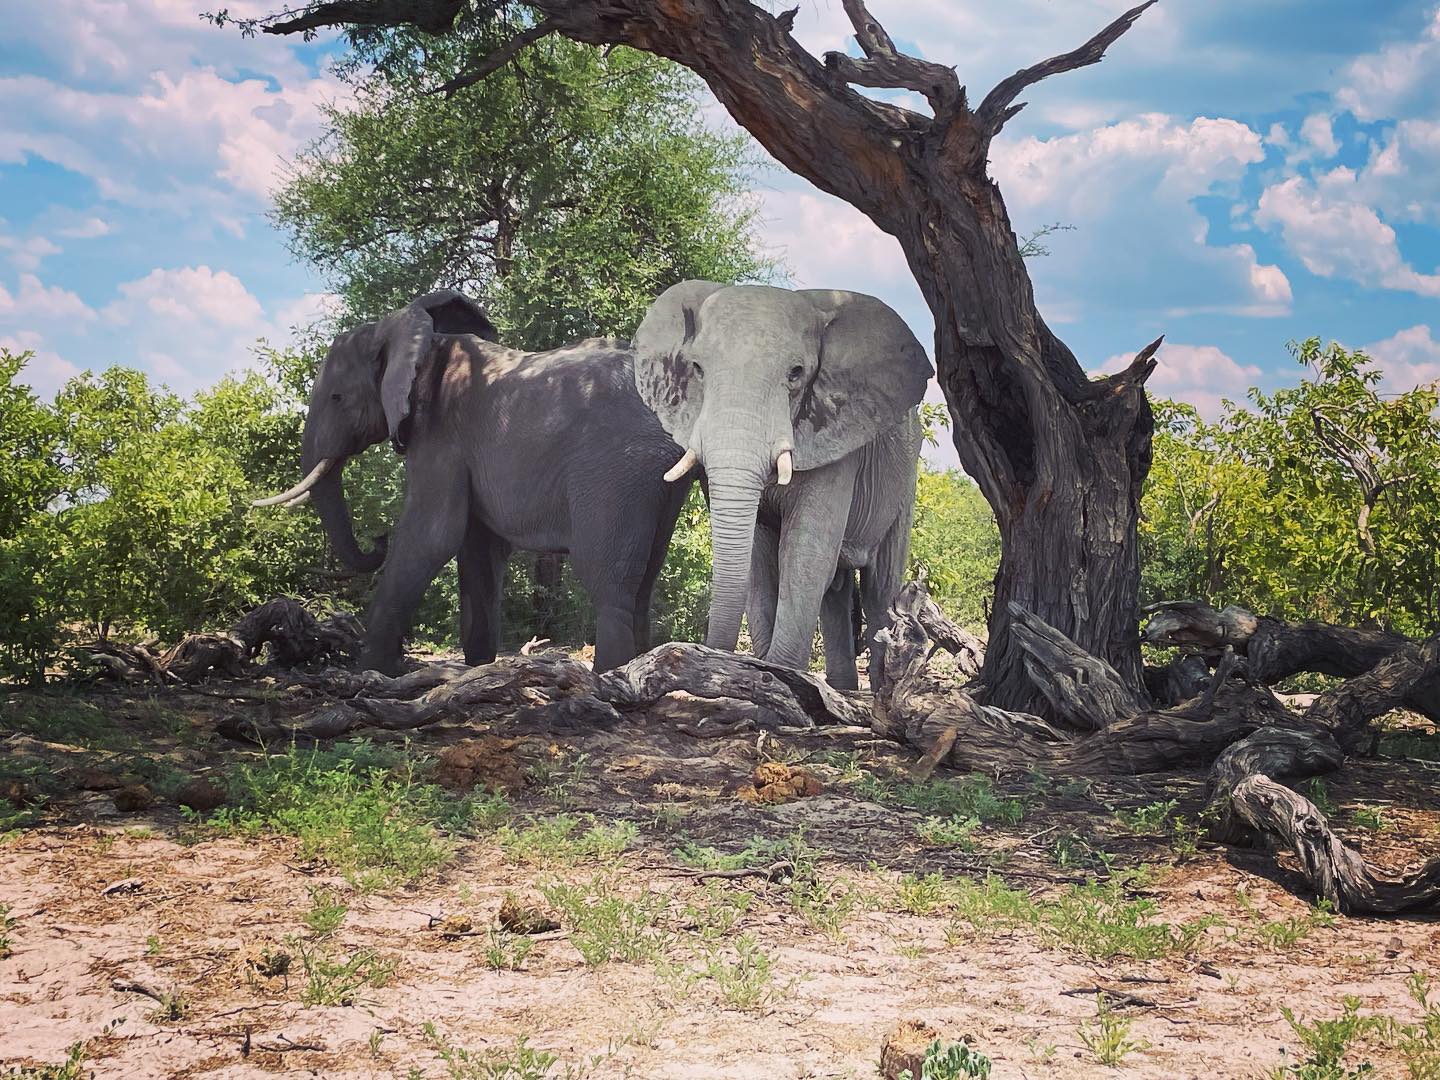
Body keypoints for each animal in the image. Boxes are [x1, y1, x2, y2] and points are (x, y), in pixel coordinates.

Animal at [254, 290, 693, 675]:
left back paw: (610, 678)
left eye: (337, 398)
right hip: (656, 475)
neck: (415, 338)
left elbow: (431, 536)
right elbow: (478, 549)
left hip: (615, 468)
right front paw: (478, 667)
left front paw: (372, 672)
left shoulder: (440, 436)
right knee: (644, 582)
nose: (376, 538)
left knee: (607, 580)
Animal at [632, 281, 932, 690]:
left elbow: (804, 552)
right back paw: (841, 688)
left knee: (880, 586)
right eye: (697, 369)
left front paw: (782, 676)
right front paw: (766, 676)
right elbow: (759, 560)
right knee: (836, 591)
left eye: (796, 373)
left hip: (904, 480)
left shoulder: (835, 438)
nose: (707, 658)